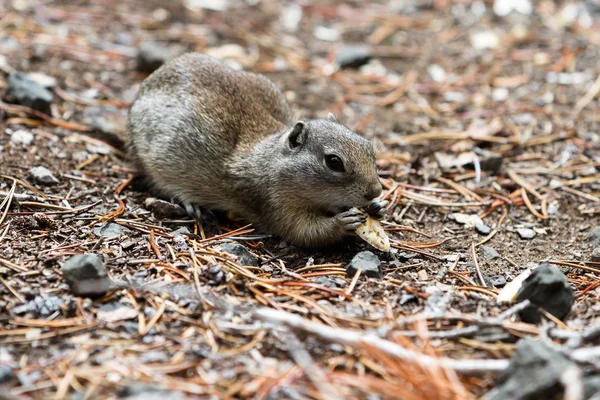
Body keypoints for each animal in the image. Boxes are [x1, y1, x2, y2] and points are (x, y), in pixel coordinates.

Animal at [129, 53, 386, 247]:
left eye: (369, 148)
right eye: (334, 162)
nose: (375, 191)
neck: (272, 159)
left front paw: (376, 207)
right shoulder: (275, 203)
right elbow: (304, 232)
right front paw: (343, 222)